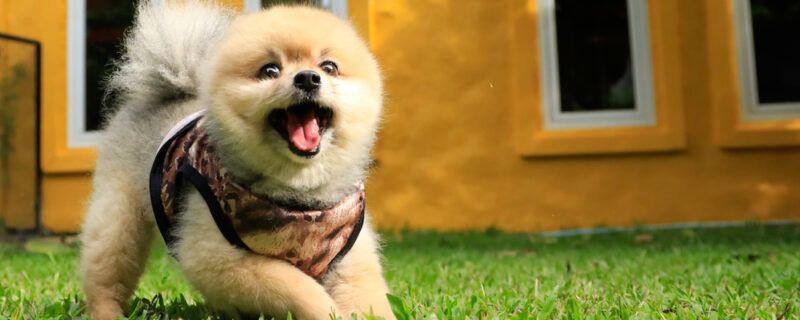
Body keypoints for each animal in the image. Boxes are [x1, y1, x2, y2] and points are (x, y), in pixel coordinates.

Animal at [80, 1, 394, 318]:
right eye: (270, 70)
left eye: (329, 67)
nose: (307, 77)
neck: (299, 196)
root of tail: (173, 91)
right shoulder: (215, 255)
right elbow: (296, 286)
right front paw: (325, 310)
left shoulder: (349, 257)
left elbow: (369, 300)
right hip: (118, 219)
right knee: (105, 275)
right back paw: (107, 312)